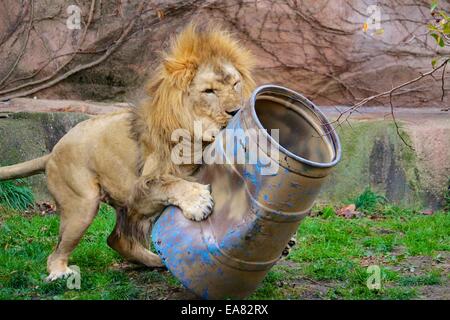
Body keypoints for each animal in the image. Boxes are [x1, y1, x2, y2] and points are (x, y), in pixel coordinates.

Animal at [0, 24, 255, 280]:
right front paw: (198, 202)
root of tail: (51, 153)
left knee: (116, 239)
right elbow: (171, 183)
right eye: (209, 91)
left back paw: (155, 260)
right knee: (59, 252)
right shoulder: (142, 186)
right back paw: (60, 273)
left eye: (235, 84)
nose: (236, 111)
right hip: (82, 205)